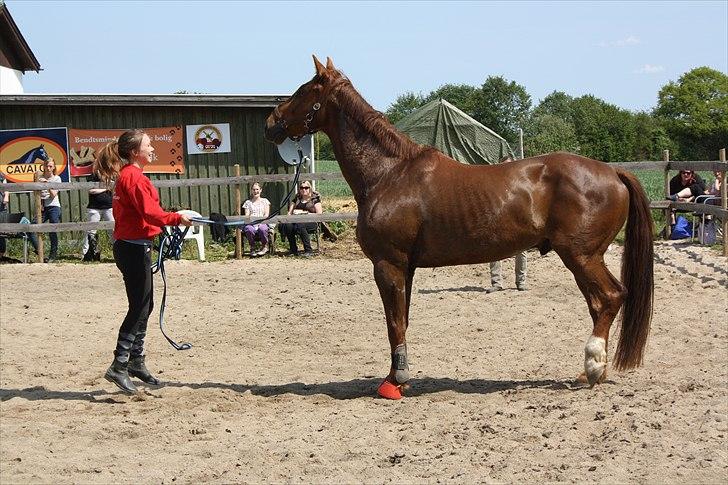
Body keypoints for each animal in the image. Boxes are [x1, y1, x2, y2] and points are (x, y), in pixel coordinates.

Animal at [264, 55, 652, 398]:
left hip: (582, 255)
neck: (389, 174)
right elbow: (402, 319)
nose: (270, 122)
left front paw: (395, 383)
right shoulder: (406, 267)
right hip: (582, 258)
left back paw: (592, 367)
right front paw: (398, 377)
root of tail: (613, 172)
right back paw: (592, 371)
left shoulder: (388, 264)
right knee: (600, 304)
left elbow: (394, 323)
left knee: (610, 297)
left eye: (303, 90)